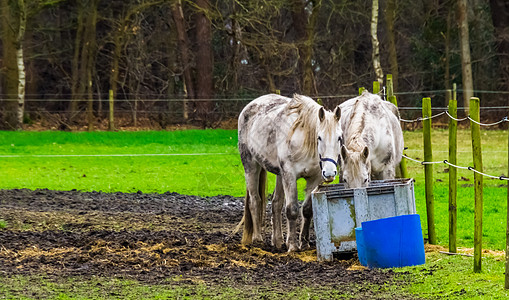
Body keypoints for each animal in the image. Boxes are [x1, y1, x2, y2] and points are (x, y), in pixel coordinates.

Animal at [238, 93, 342, 251]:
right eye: (319, 137)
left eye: (339, 138)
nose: (330, 173)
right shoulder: (290, 175)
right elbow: (292, 210)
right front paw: (293, 246)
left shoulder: (315, 179)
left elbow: (307, 210)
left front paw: (304, 243)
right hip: (251, 166)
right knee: (255, 201)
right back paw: (257, 239)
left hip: (279, 175)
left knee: (276, 203)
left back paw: (278, 241)